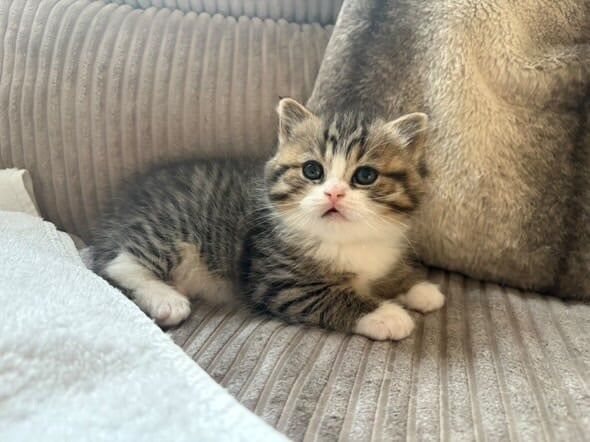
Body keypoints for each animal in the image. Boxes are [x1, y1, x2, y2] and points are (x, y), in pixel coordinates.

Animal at [90, 98, 445, 340]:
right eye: (312, 170)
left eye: (366, 176)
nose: (334, 194)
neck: (344, 240)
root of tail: (119, 210)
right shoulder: (277, 279)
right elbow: (331, 296)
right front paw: (386, 314)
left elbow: (386, 275)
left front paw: (415, 287)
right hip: (168, 226)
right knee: (117, 264)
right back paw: (166, 299)